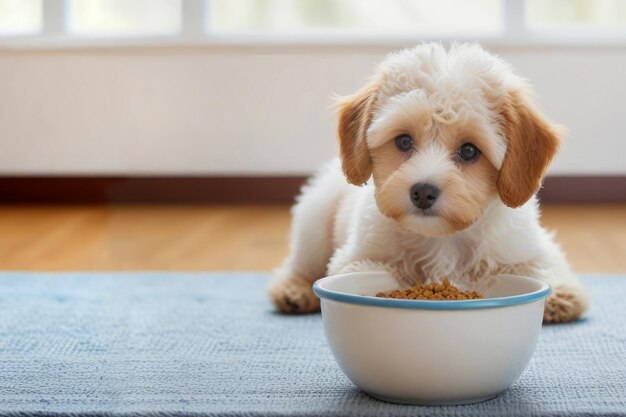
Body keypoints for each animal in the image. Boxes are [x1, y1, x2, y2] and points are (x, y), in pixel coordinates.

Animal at [266, 43, 584, 322]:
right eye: (404, 141)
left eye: (469, 151)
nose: (422, 192)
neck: (442, 239)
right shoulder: (358, 254)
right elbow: (368, 269)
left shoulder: (524, 246)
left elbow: (542, 265)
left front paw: (561, 295)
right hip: (314, 221)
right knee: (299, 263)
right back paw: (292, 289)